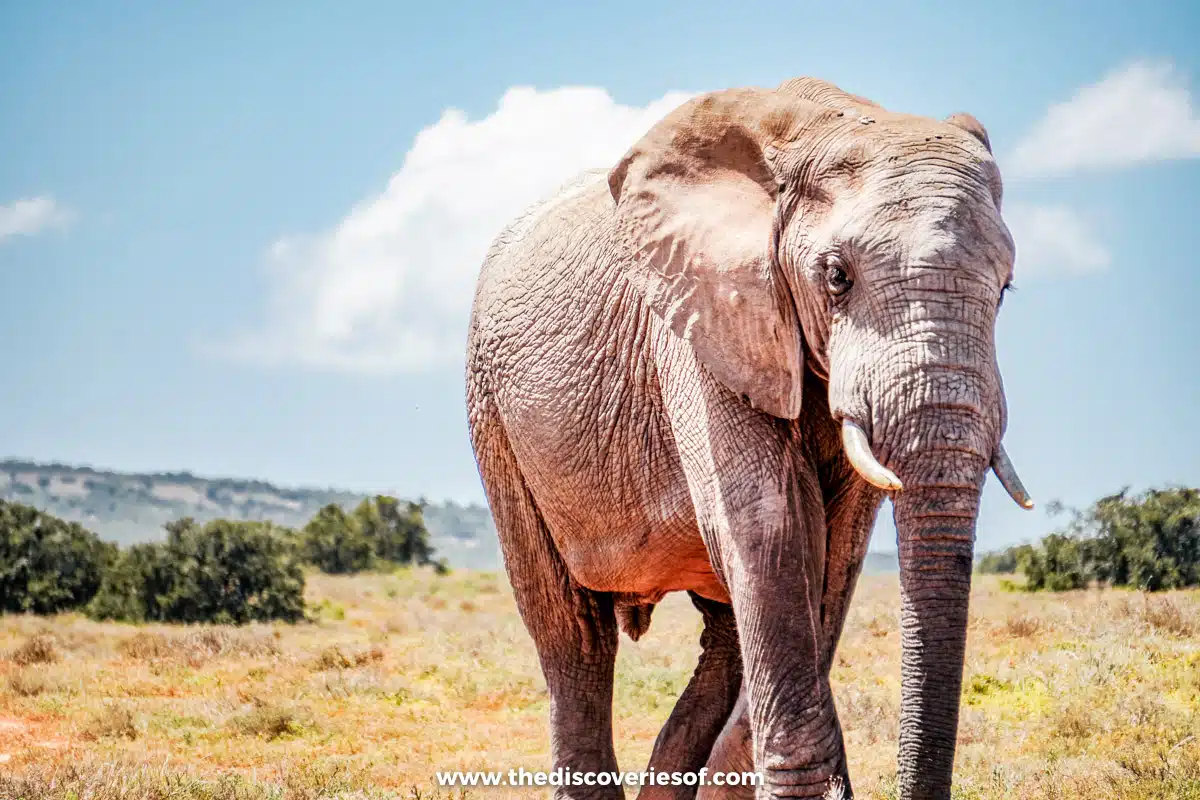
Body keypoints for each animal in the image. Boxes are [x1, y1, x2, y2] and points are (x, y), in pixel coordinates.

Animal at [463, 76, 1036, 800]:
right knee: (575, 639)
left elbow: (836, 550)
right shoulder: (700, 314)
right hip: (494, 416)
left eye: (1006, 289)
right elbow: (772, 525)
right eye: (837, 277)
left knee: (724, 637)